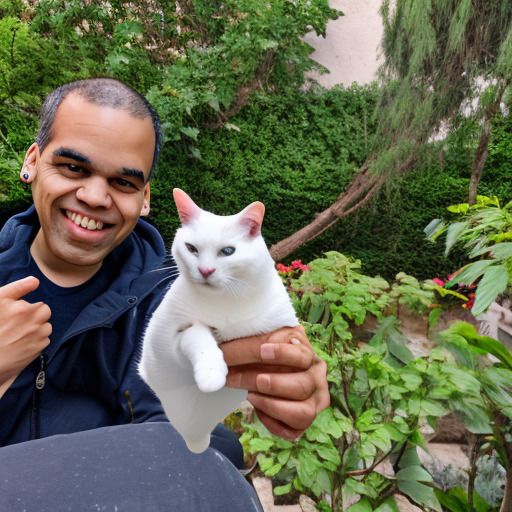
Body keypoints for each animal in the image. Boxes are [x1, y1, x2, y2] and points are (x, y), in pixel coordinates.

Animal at [140, 190, 298, 454]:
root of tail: (194, 437)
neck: (226, 299)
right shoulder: (172, 335)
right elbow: (197, 335)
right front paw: (212, 371)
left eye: (227, 251)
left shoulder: (280, 328)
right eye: (191, 248)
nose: (205, 271)